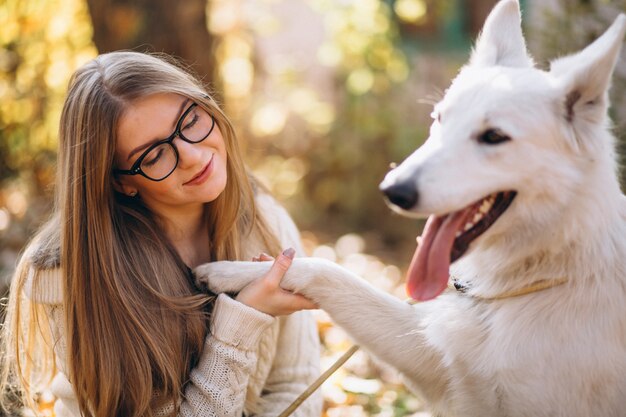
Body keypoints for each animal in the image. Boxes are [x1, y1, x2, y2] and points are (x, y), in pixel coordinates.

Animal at [197, 1, 624, 414]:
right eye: (439, 119)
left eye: (494, 137)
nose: (393, 191)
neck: (549, 263)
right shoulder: (432, 358)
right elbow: (328, 271)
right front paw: (231, 272)